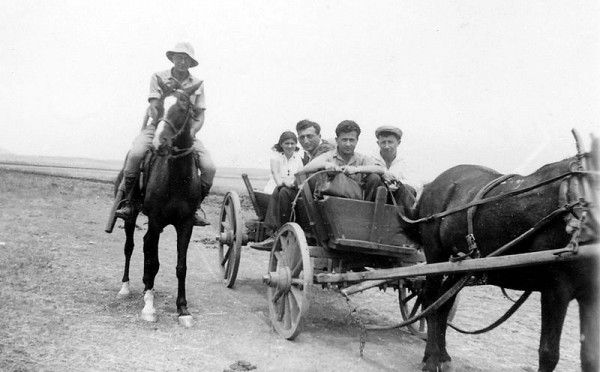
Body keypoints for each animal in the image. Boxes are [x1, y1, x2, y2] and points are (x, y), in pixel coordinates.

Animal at [112, 77, 204, 326]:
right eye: (159, 106)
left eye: (183, 108)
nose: (159, 143)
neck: (177, 179)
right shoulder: (154, 220)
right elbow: (153, 261)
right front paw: (149, 308)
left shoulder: (186, 224)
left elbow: (181, 266)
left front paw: (183, 309)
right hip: (133, 216)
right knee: (130, 247)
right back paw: (127, 287)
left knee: (145, 246)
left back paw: (146, 286)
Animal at [418, 134, 600, 372]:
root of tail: (433, 183)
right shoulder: (556, 289)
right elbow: (549, 353)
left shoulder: (590, 295)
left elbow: (590, 357)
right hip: (434, 254)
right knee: (430, 301)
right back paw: (431, 358)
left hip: (461, 266)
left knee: (444, 304)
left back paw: (442, 355)